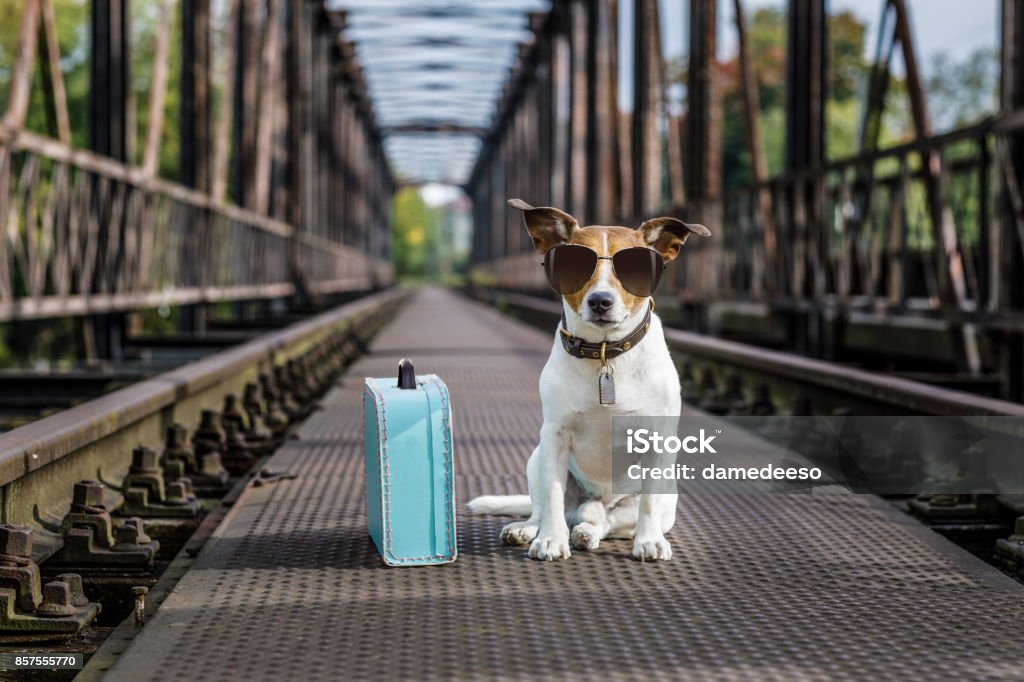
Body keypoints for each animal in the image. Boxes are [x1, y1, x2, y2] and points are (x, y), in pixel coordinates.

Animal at [466, 196, 712, 557]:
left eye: (634, 268)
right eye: (574, 265)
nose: (600, 301)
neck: (606, 353)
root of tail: (593, 504)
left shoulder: (657, 442)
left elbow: (648, 504)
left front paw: (649, 541)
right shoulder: (555, 436)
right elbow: (553, 497)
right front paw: (550, 539)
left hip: (665, 494)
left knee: (610, 523)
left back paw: (588, 532)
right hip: (536, 458)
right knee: (542, 507)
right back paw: (529, 529)